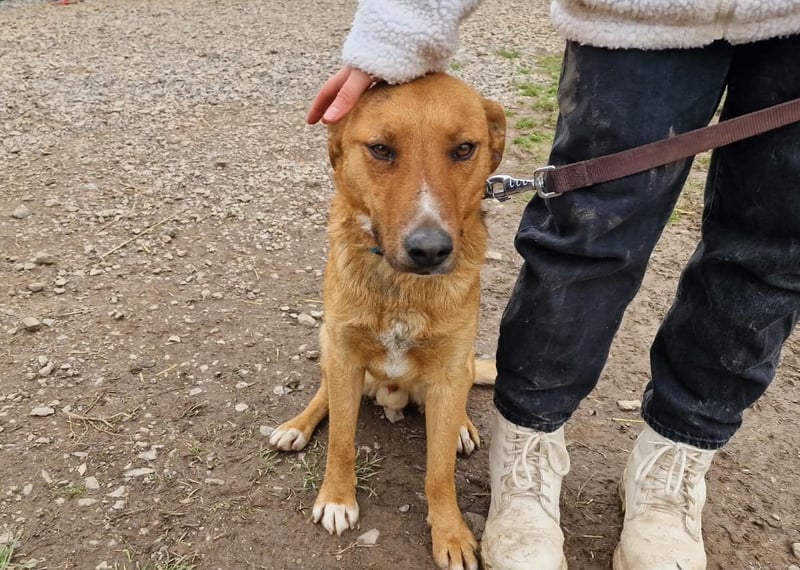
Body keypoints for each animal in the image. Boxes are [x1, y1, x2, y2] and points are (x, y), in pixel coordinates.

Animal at [269, 73, 505, 570]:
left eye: (464, 149)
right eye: (380, 149)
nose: (430, 250)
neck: (401, 288)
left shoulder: (450, 370)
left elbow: (440, 472)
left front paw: (451, 532)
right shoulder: (344, 355)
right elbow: (341, 440)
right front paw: (337, 498)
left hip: (456, 367)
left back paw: (460, 426)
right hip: (330, 347)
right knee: (325, 395)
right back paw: (298, 425)